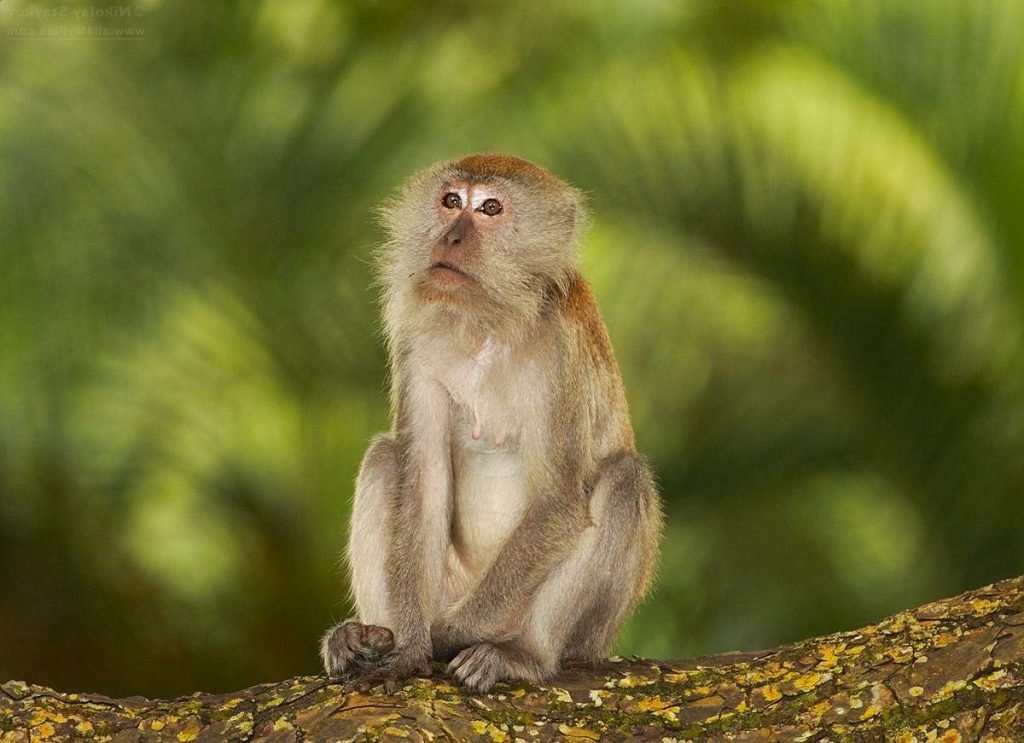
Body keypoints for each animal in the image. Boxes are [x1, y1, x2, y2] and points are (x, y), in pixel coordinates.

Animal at [319, 154, 663, 695]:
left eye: (490, 209)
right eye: (451, 201)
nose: (451, 238)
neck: (486, 321)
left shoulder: (560, 349)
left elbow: (559, 504)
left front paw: (440, 638)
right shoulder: (417, 341)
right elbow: (422, 483)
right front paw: (409, 645)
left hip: (582, 632)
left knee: (624, 479)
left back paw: (524, 655)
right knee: (384, 458)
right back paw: (366, 634)